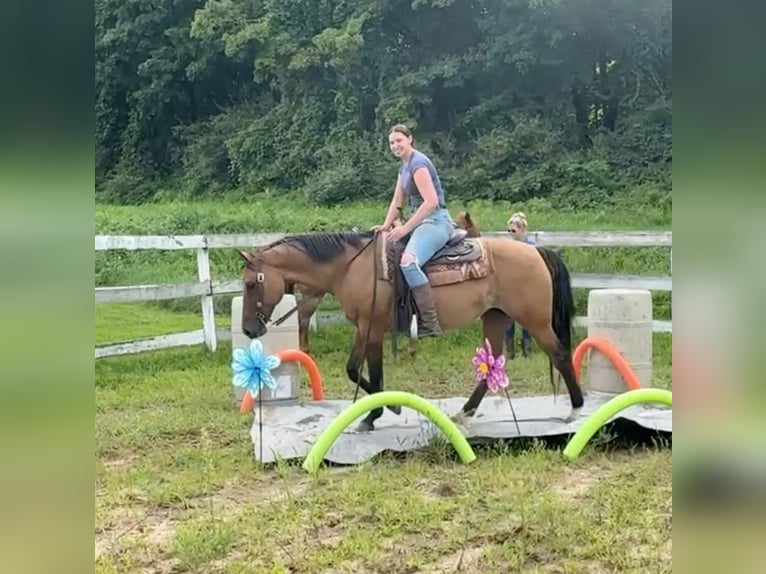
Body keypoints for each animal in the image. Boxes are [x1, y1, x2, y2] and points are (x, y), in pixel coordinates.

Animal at [237, 227, 584, 434]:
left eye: (251, 283)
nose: (248, 329)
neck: (351, 267)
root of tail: (536, 252)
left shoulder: (373, 328)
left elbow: (372, 372)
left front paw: (376, 413)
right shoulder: (362, 327)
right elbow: (353, 369)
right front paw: (389, 406)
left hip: (534, 320)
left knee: (559, 353)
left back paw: (576, 408)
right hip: (496, 317)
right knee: (492, 366)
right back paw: (465, 412)